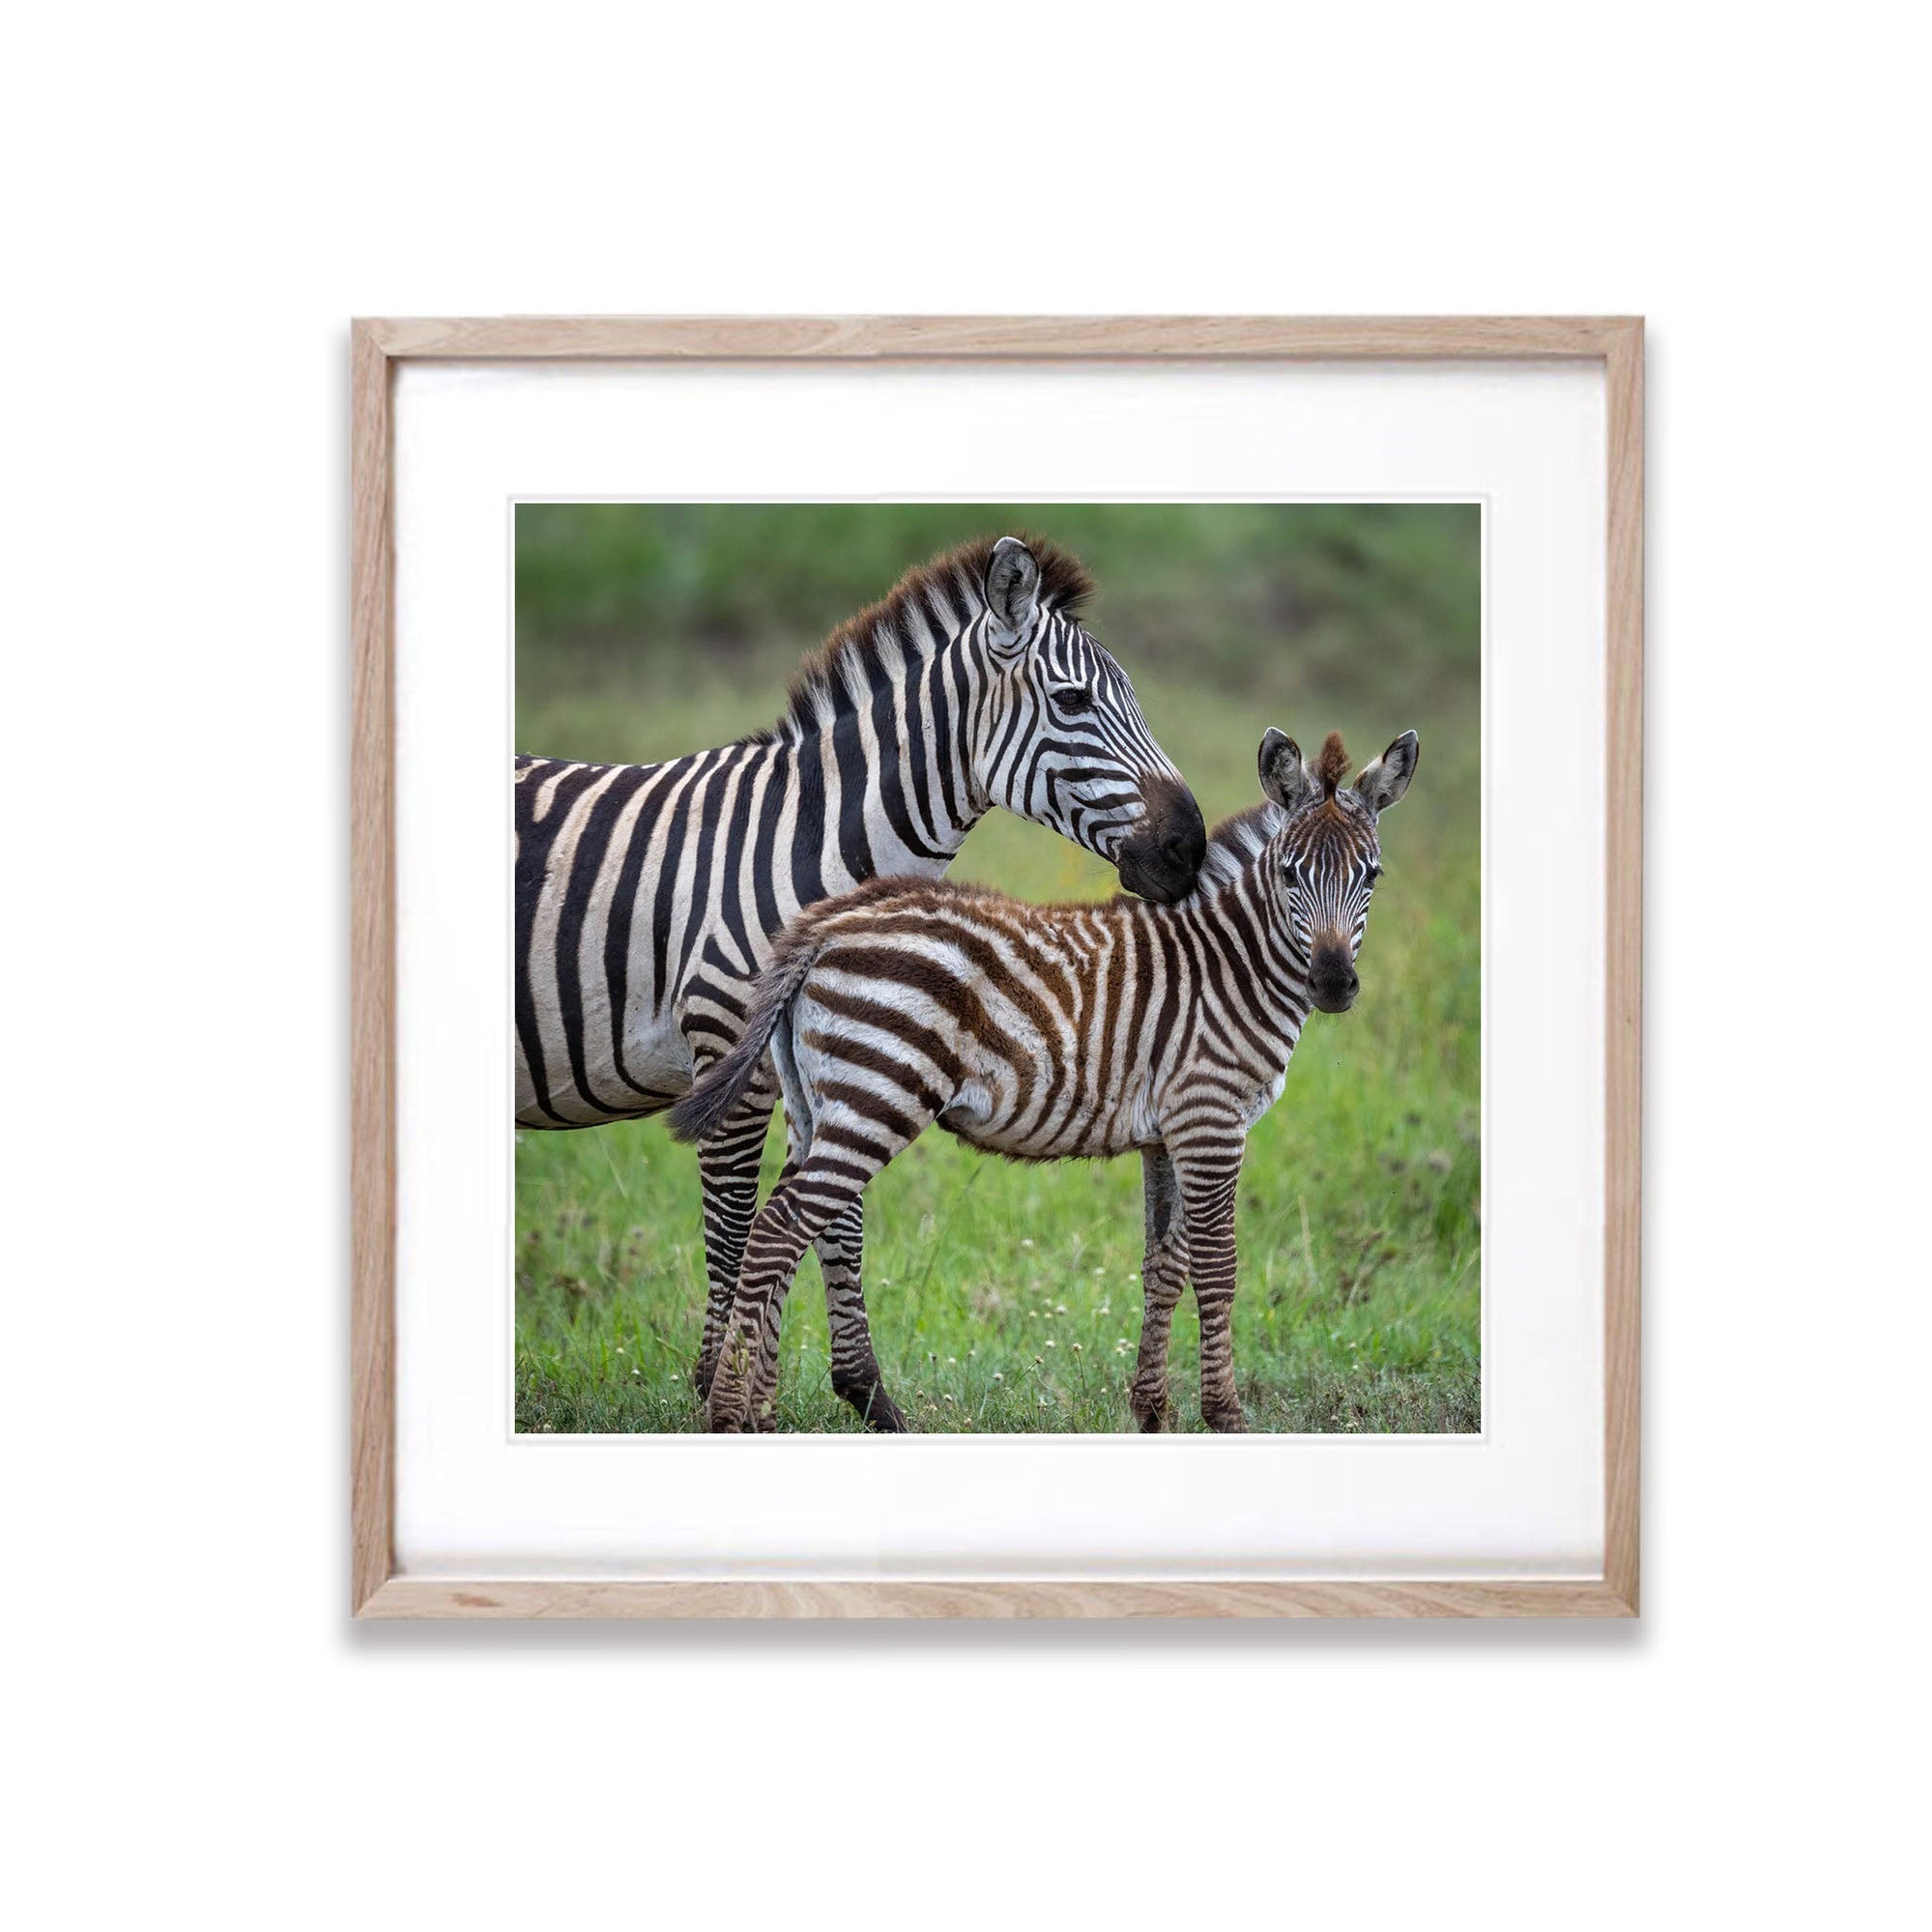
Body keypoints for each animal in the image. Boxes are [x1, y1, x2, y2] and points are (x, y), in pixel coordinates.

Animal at [516, 534, 1207, 1430]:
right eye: (1072, 700)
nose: (1190, 848)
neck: (808, 841)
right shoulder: (733, 1055)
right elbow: (736, 1225)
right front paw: (716, 1391)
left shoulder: (839, 1047)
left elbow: (835, 1219)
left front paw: (864, 1392)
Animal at [668, 724, 1418, 1434]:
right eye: (1290, 874)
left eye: (1374, 875)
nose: (1333, 984)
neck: (1229, 963)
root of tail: (823, 924)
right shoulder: (1211, 1118)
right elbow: (1216, 1266)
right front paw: (1224, 1415)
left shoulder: (1168, 1133)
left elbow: (1164, 1265)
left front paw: (1152, 1410)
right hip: (877, 1093)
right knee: (776, 1232)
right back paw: (728, 1415)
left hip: (815, 1105)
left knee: (783, 1237)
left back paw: (760, 1415)